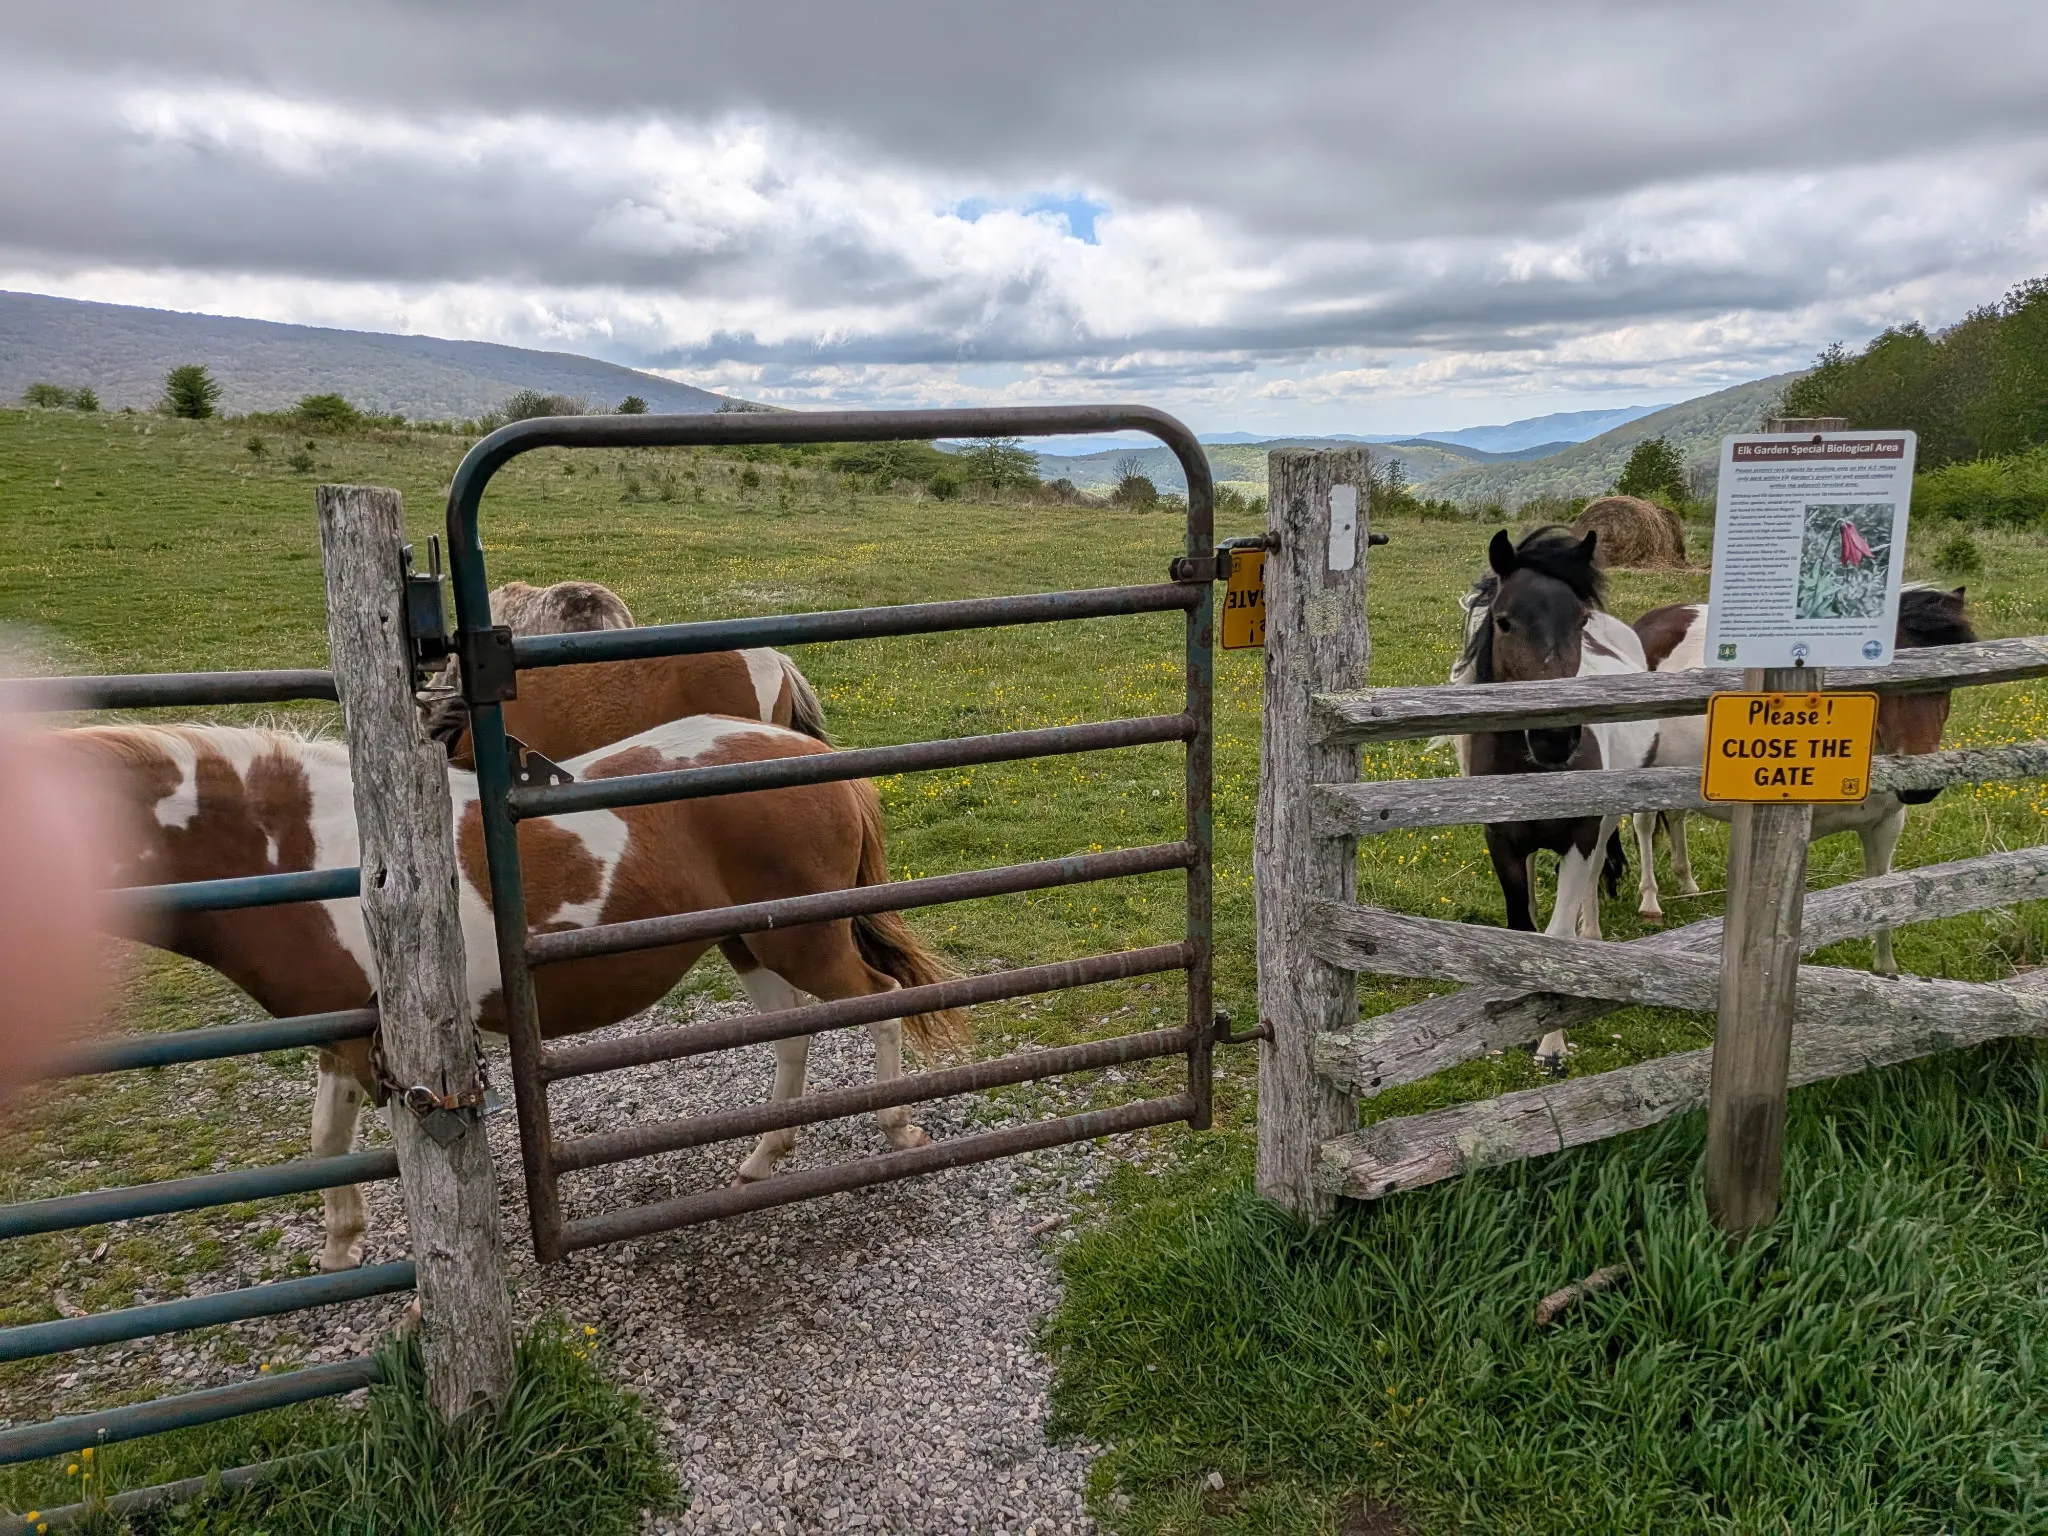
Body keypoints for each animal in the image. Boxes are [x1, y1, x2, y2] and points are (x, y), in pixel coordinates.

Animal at [59, 718, 967, 1272]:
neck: (304, 848)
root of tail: (822, 763)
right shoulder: (341, 1037)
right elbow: (324, 1141)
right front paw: (341, 1247)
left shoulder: (391, 1050)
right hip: (751, 941)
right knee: (792, 1032)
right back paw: (763, 1157)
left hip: (806, 938)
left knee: (877, 1000)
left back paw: (897, 1127)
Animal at [1451, 527, 1659, 1067]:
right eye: (1503, 621)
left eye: (1578, 622)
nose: (1555, 737)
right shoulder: (1502, 842)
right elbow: (1523, 931)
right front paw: (1520, 1027)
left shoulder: (1579, 839)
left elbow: (1557, 940)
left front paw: (1551, 1045)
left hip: (1606, 817)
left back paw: (1594, 938)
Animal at [1630, 584, 1976, 975]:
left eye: (1949, 681)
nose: (1922, 787)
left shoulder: (1886, 824)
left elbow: (1882, 891)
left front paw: (1886, 968)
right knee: (1644, 825)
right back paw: (1650, 901)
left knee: (1675, 817)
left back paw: (1687, 883)